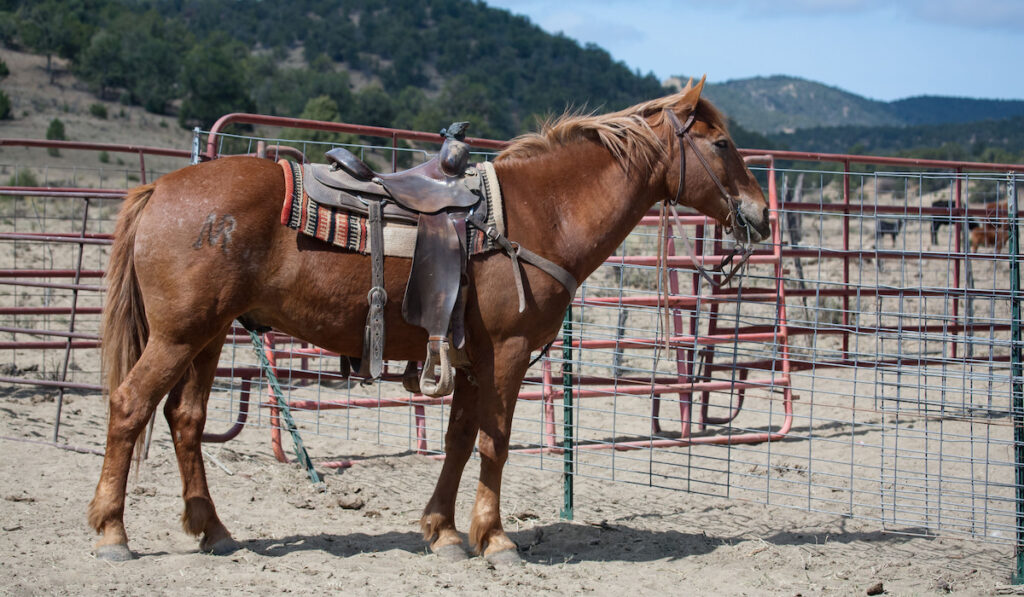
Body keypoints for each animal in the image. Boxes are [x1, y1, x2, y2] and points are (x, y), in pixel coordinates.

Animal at [88, 79, 770, 565]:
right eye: (721, 144)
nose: (762, 215)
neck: (539, 213)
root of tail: (162, 188)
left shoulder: (470, 357)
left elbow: (459, 439)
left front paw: (442, 532)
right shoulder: (508, 353)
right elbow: (495, 441)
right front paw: (496, 540)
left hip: (206, 335)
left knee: (185, 420)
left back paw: (214, 531)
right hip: (178, 336)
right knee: (130, 406)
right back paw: (113, 533)